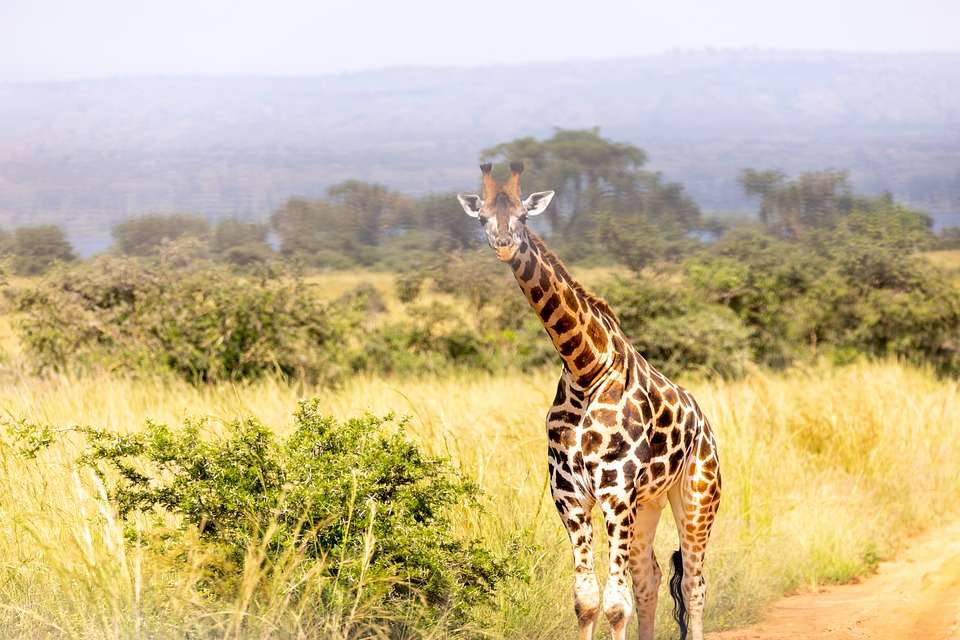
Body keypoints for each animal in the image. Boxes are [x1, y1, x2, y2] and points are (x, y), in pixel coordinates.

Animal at [458, 164, 720, 640]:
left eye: (523, 216)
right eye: (483, 217)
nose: (504, 243)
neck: (585, 368)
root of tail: (705, 426)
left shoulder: (616, 491)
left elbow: (615, 605)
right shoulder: (570, 495)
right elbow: (586, 600)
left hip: (697, 495)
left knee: (693, 582)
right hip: (648, 504)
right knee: (650, 576)